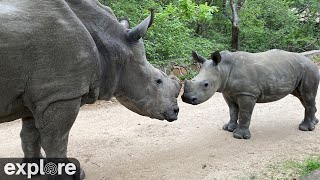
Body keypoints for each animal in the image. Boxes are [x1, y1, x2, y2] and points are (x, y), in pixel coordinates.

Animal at [0, 0, 180, 178]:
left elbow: (30, 136)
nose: (176, 111)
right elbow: (56, 140)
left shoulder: (43, 96)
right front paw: (72, 174)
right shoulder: (61, 94)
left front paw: (34, 170)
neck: (112, 44)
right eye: (157, 81)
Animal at [182, 49, 320, 139]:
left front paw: (239, 136)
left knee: (307, 96)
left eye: (206, 84)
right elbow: (232, 111)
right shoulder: (228, 92)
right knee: (302, 96)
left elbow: (244, 113)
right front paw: (228, 128)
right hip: (296, 70)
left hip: (309, 70)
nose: (186, 98)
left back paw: (304, 128)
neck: (222, 69)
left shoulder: (247, 94)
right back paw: (314, 123)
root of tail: (311, 61)